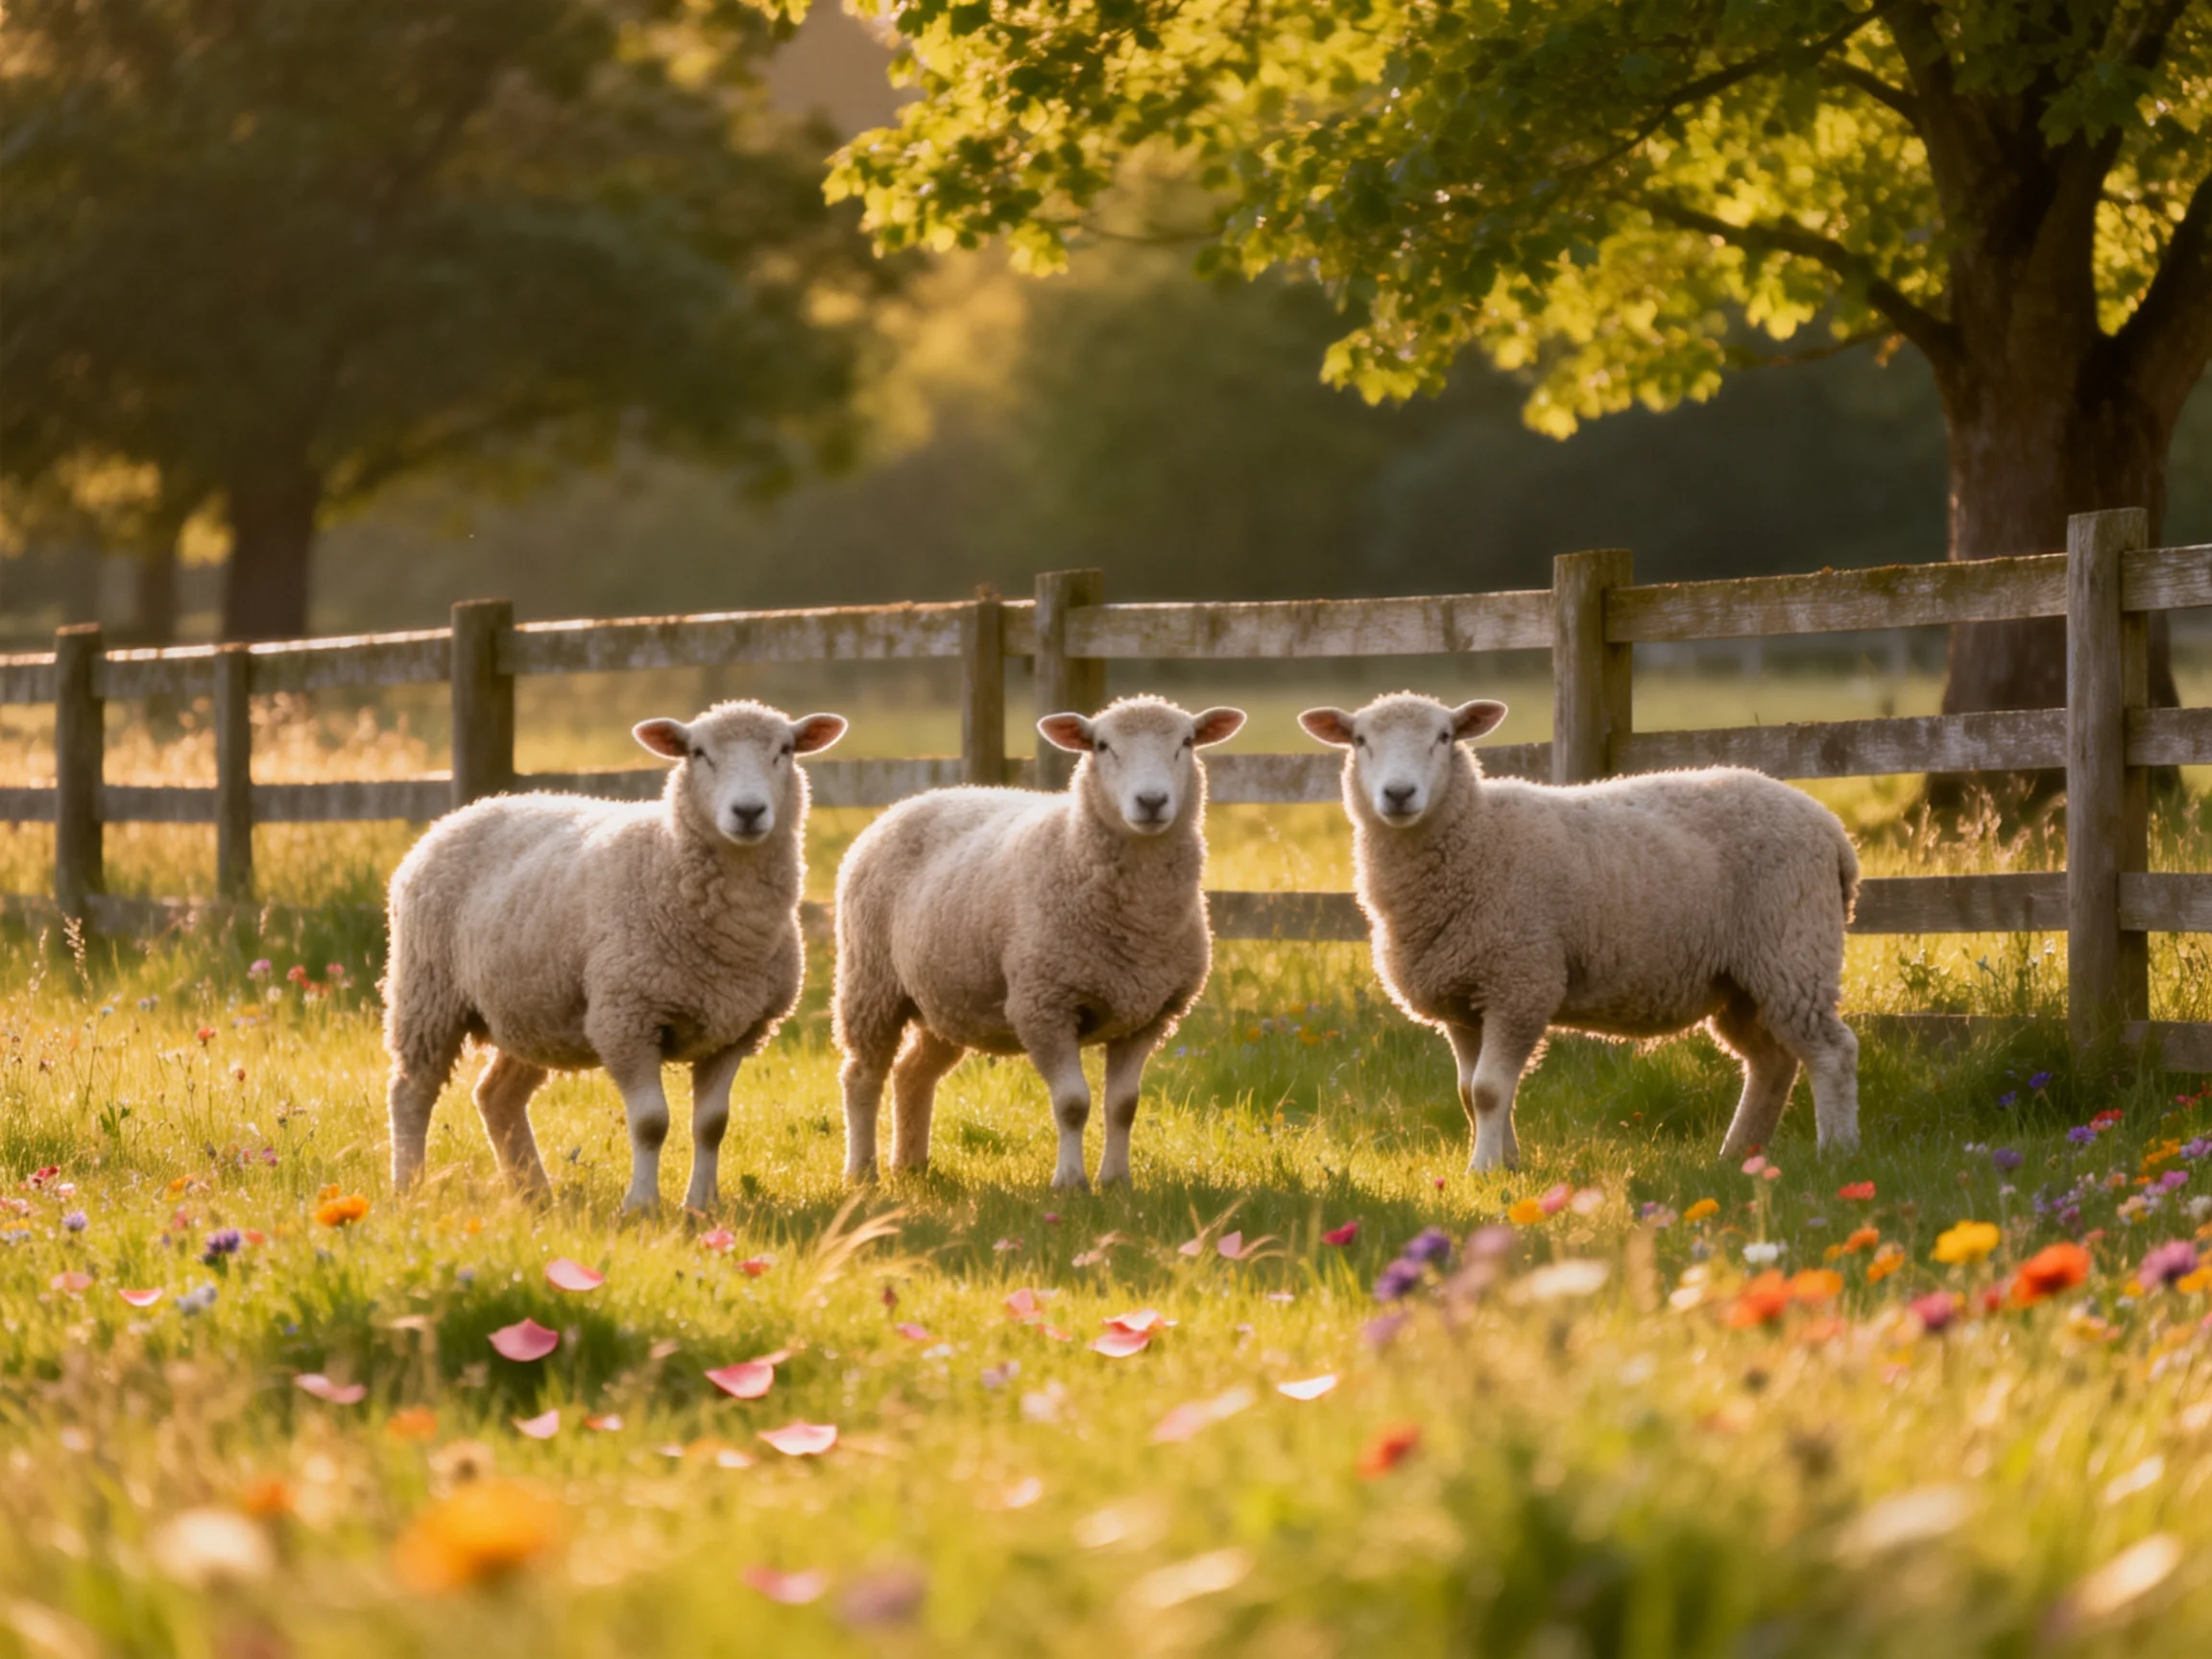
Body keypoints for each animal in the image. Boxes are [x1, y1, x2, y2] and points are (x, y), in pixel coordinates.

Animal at [381, 700, 847, 1212]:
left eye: (784, 750)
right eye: (698, 753)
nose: (748, 811)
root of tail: (465, 811)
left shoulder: (739, 1030)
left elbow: (712, 1125)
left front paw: (700, 1207)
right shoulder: (625, 1019)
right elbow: (650, 1122)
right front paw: (641, 1205)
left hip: (534, 1010)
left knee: (496, 1096)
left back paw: (534, 1192)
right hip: (428, 993)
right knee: (411, 1091)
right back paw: (408, 1186)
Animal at [832, 696, 1246, 1190]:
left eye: (1186, 742)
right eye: (1102, 746)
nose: (1151, 801)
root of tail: (912, 800)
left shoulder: (1148, 1015)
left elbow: (1123, 1106)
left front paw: (1116, 1181)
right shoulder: (1043, 1006)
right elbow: (1073, 1103)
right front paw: (1070, 1182)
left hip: (946, 997)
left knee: (912, 1073)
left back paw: (911, 1164)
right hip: (871, 984)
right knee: (863, 1076)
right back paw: (862, 1172)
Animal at [1298, 693, 1860, 1170]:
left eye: (1444, 736)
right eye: (1360, 740)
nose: (1398, 794)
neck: (1477, 834)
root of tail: (1831, 827)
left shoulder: (1520, 982)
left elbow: (1489, 1090)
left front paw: (1483, 1170)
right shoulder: (1462, 999)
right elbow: (1469, 1092)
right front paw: (1508, 1163)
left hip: (1793, 948)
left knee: (1832, 1052)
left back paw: (1835, 1152)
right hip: (1741, 980)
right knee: (1771, 1062)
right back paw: (1737, 1154)